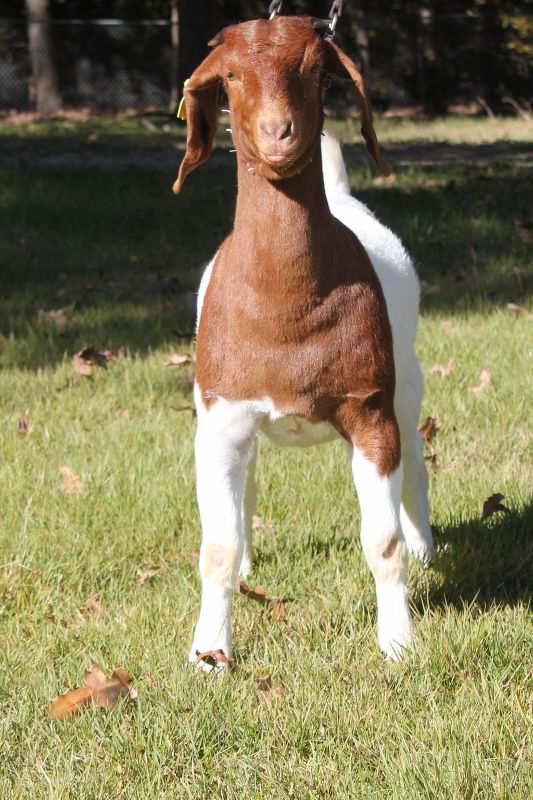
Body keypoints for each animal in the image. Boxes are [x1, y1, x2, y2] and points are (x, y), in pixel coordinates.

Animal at [173, 16, 434, 668]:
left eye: (317, 69)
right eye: (231, 75)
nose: (277, 132)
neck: (286, 309)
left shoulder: (370, 415)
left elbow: (383, 542)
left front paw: (398, 643)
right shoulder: (222, 419)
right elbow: (217, 547)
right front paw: (209, 654)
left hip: (405, 387)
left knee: (417, 464)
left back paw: (427, 548)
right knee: (248, 491)